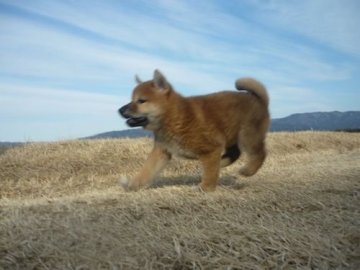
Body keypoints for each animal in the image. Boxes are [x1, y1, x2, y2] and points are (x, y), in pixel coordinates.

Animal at [119, 70, 270, 192]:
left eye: (141, 101)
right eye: (132, 99)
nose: (120, 110)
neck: (174, 116)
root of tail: (259, 99)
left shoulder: (211, 148)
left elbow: (209, 173)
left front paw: (206, 188)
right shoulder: (161, 152)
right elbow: (147, 170)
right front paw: (133, 184)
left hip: (247, 136)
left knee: (260, 154)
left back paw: (248, 170)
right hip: (231, 135)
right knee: (234, 154)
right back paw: (222, 163)